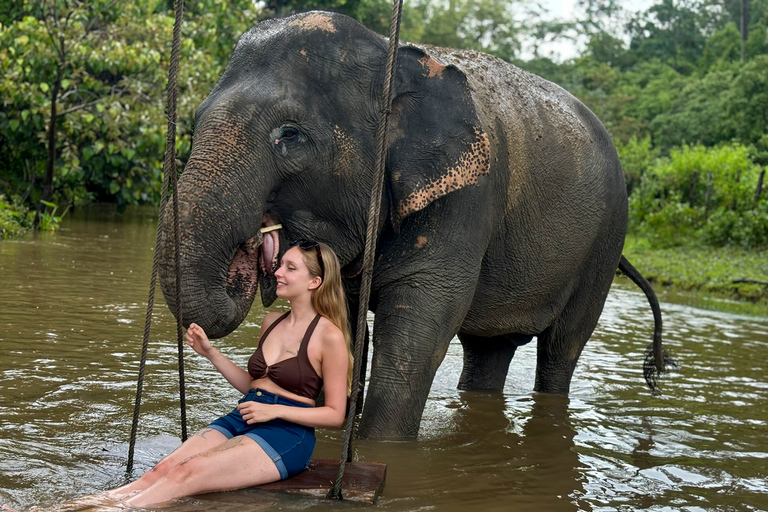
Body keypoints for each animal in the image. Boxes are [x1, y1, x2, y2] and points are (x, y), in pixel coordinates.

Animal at [158, 11, 671, 438]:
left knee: (562, 348)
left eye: (290, 134)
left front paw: (382, 449)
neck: (394, 57)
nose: (256, 248)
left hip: (605, 243)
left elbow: (420, 324)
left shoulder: (467, 197)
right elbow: (344, 326)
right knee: (489, 350)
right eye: (194, 122)